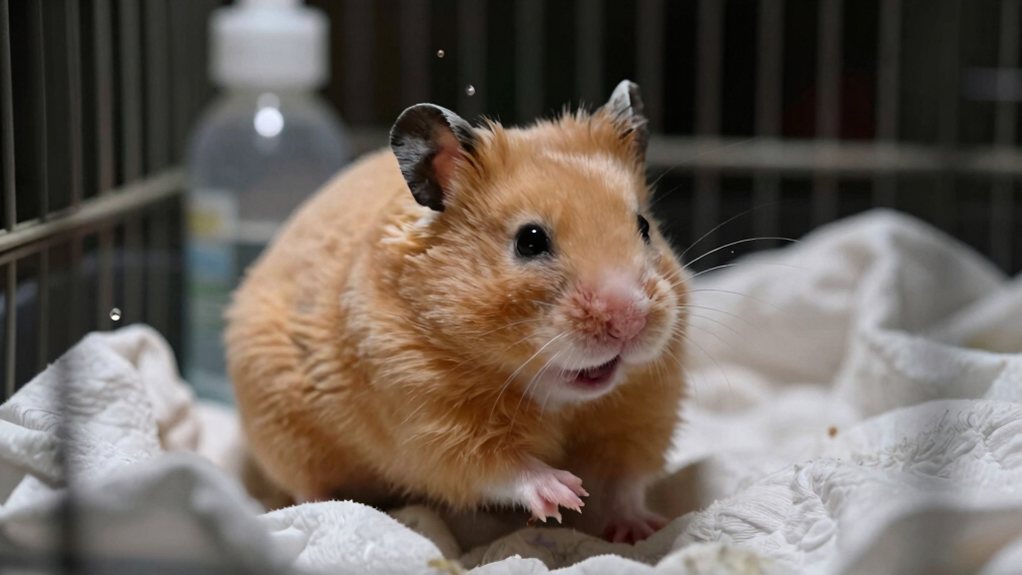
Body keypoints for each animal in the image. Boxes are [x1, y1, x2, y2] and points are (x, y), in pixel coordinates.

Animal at [225, 80, 688, 543]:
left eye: (644, 227)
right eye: (530, 240)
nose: (631, 320)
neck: (555, 397)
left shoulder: (640, 413)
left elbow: (622, 483)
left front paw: (645, 529)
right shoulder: (429, 422)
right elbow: (500, 466)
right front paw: (563, 493)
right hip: (285, 433)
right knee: (308, 485)